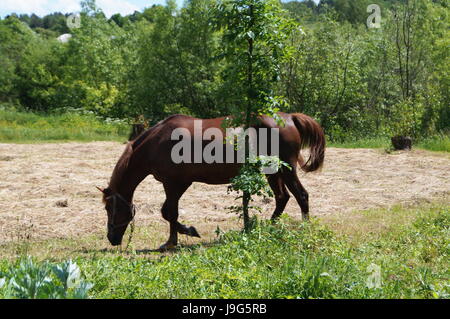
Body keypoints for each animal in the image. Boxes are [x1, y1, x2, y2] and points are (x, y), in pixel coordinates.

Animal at [98, 114, 326, 251]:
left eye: (110, 208)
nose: (111, 238)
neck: (157, 141)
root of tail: (290, 118)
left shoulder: (175, 183)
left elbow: (169, 213)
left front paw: (181, 236)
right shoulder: (176, 184)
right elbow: (169, 213)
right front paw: (176, 238)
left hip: (286, 169)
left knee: (301, 196)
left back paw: (305, 231)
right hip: (273, 172)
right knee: (282, 198)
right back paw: (268, 229)